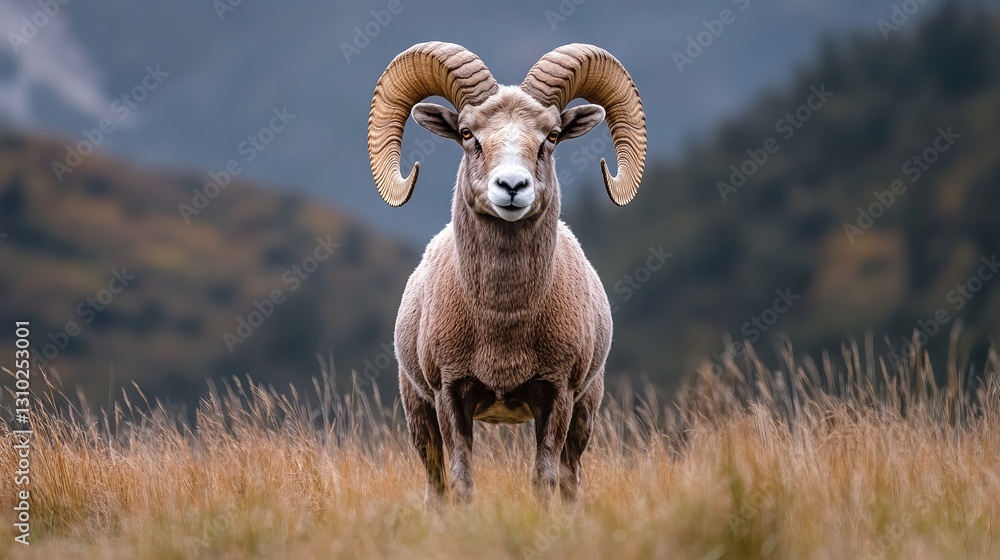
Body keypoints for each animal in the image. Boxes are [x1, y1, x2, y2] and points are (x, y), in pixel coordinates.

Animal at [367, 42, 647, 504]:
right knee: (436, 485)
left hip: (586, 411)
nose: (512, 187)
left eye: (551, 136)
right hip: (417, 413)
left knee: (570, 479)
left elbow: (545, 480)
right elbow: (462, 482)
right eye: (467, 134)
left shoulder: (558, 396)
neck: (503, 323)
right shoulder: (449, 396)